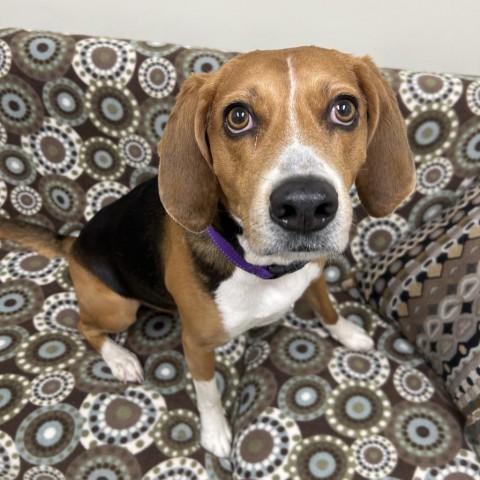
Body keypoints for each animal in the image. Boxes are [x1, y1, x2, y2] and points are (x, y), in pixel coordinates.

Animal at [0, 47, 412, 456]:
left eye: (344, 109)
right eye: (238, 117)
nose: (305, 206)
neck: (264, 267)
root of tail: (74, 243)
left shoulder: (313, 277)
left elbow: (328, 309)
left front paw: (349, 334)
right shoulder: (196, 345)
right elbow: (208, 394)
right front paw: (215, 434)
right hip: (117, 308)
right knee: (84, 325)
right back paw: (120, 359)